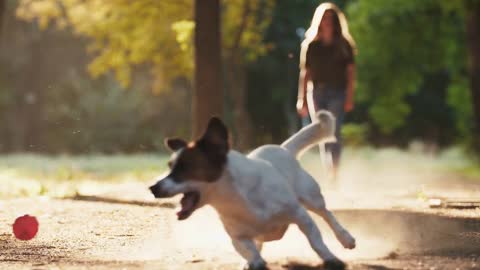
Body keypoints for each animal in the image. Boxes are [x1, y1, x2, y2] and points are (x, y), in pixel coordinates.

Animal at [150, 110, 356, 268]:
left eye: (185, 167)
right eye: (170, 166)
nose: (153, 187)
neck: (235, 198)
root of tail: (284, 148)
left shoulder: (301, 215)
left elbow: (316, 242)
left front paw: (330, 258)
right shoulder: (238, 237)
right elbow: (249, 251)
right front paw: (253, 262)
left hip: (311, 197)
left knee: (327, 214)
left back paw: (345, 238)